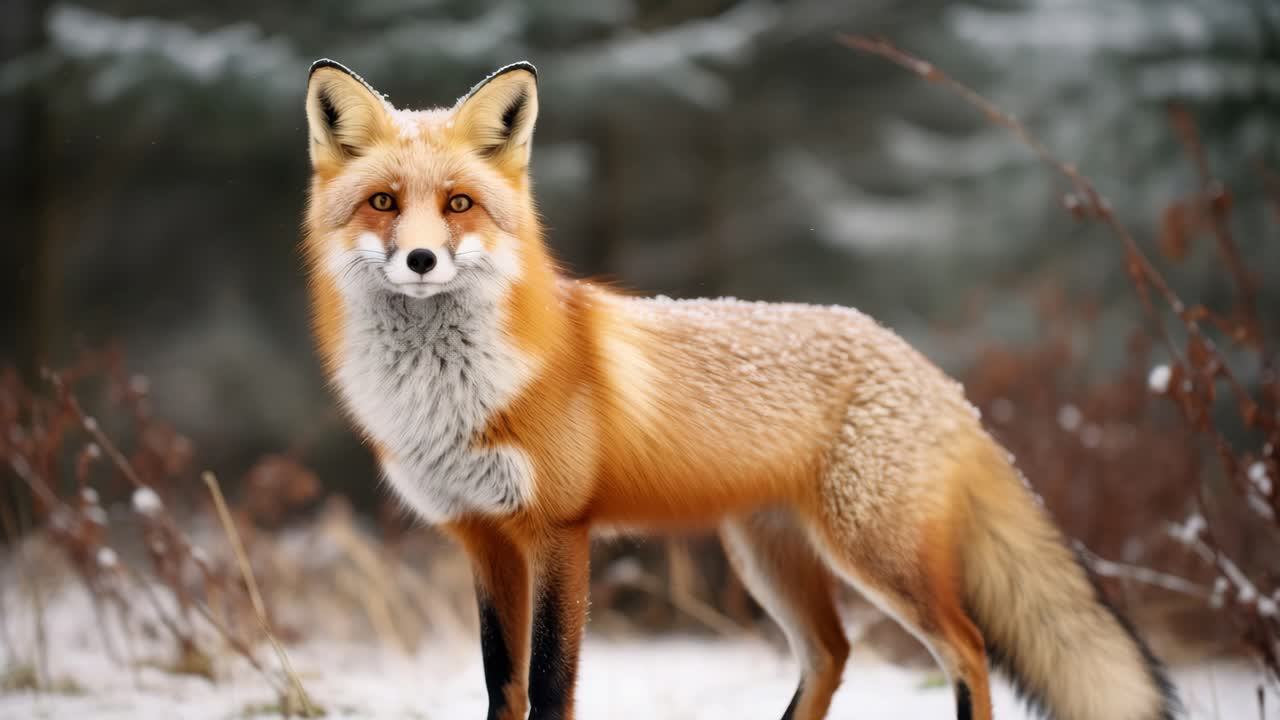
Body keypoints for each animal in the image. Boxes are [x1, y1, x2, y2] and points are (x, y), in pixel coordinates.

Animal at [300, 59, 1180, 720]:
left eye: (459, 204)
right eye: (382, 202)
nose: (421, 260)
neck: (450, 400)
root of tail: (931, 371)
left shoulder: (558, 532)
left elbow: (548, 688)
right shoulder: (482, 537)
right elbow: (500, 689)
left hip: (873, 554)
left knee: (964, 649)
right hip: (771, 558)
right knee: (832, 655)